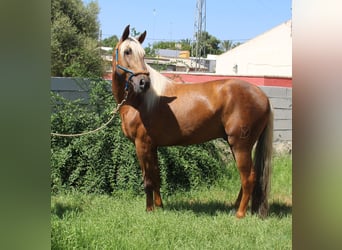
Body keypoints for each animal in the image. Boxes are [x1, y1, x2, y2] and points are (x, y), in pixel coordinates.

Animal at [112, 24, 272, 218]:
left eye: (143, 54)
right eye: (127, 51)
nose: (144, 82)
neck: (140, 101)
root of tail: (262, 95)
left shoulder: (141, 144)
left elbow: (147, 179)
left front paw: (149, 209)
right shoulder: (153, 146)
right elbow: (156, 176)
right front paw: (159, 206)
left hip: (241, 145)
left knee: (248, 177)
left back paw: (239, 214)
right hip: (239, 145)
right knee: (249, 176)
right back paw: (235, 207)